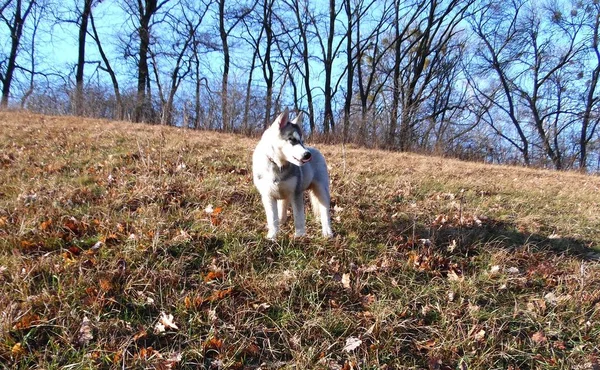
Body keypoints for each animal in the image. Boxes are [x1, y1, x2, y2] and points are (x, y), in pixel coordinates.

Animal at [252, 107, 332, 240]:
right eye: (292, 139)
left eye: (302, 141)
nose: (307, 155)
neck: (278, 166)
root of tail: (316, 150)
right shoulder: (268, 196)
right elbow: (272, 219)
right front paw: (272, 237)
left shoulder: (296, 193)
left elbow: (299, 217)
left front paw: (299, 236)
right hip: (284, 196)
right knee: (282, 212)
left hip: (321, 190)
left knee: (325, 212)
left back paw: (327, 232)